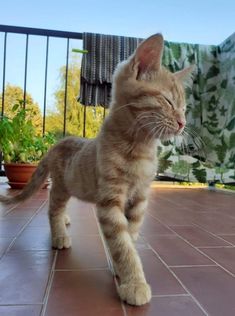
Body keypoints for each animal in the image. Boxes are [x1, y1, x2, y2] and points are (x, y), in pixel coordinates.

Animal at [0, 34, 191, 306]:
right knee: (52, 207)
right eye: (167, 101)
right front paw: (134, 283)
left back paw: (66, 221)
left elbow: (130, 235)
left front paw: (122, 270)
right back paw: (59, 235)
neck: (140, 148)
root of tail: (59, 142)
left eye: (184, 108)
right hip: (62, 185)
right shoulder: (110, 200)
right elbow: (122, 243)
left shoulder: (139, 199)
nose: (183, 123)